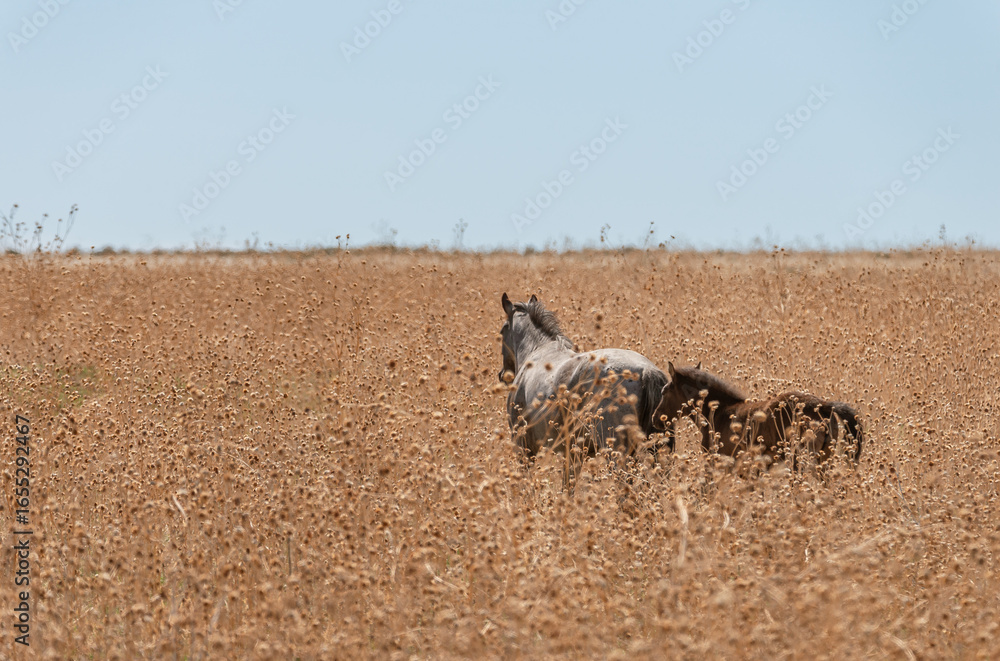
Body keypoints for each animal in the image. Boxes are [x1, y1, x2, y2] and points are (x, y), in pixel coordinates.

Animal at [499, 293, 669, 465]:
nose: (502, 375)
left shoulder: (523, 449)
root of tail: (646, 370)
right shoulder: (572, 455)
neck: (537, 350)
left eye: (502, 330)